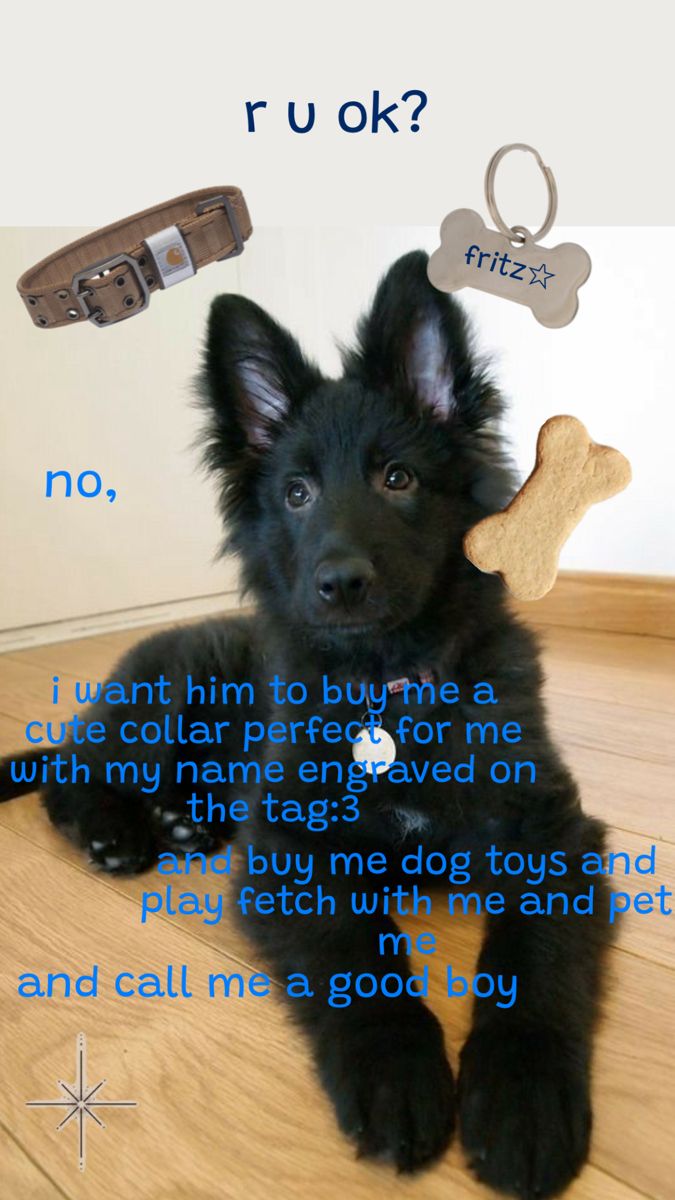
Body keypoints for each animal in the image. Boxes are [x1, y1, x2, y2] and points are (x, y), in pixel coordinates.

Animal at [1, 248, 610, 1195]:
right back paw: (116, 832)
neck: (388, 692)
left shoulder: (551, 832)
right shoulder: (290, 851)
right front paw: (397, 1075)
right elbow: (360, 960)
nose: (338, 583)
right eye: (295, 493)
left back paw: (185, 824)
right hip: (164, 702)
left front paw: (521, 1097)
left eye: (397, 479)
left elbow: (533, 962)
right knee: (68, 775)